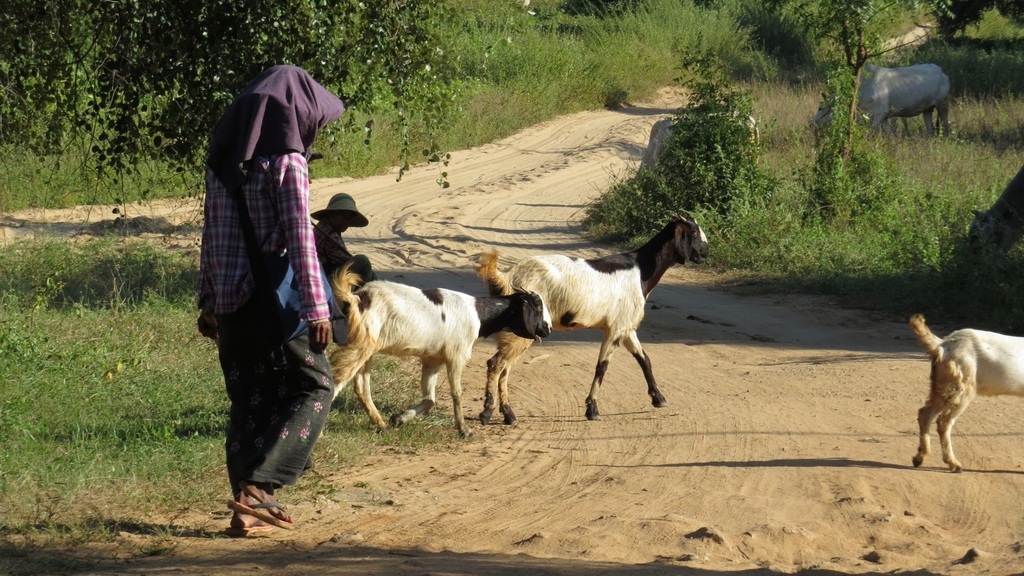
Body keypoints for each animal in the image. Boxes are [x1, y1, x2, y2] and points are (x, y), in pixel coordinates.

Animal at [327, 261, 552, 434]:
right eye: (537, 305)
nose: (548, 328)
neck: (478, 313)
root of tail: (357, 298)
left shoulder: (432, 360)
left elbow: (429, 400)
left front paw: (399, 418)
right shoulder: (456, 356)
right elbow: (457, 393)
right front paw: (464, 430)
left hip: (366, 349)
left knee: (361, 388)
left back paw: (381, 424)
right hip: (358, 347)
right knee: (336, 381)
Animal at [475, 211, 708, 422]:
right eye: (694, 232)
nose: (706, 251)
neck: (641, 271)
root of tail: (507, 276)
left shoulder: (626, 327)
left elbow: (644, 359)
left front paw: (658, 398)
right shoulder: (615, 328)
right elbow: (602, 366)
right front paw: (592, 409)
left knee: (505, 366)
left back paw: (508, 414)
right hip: (522, 329)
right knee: (496, 364)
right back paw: (488, 412)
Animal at [815, 63, 950, 138]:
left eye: (820, 108)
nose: (812, 124)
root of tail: (943, 73)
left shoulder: (879, 114)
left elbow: (871, 134)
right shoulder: (883, 117)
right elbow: (891, 136)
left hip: (942, 104)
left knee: (946, 124)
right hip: (927, 109)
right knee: (930, 130)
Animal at [913, 313, 1024, 471]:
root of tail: (942, 344)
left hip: (942, 386)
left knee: (925, 413)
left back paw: (919, 457)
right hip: (962, 389)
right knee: (944, 422)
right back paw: (953, 463)